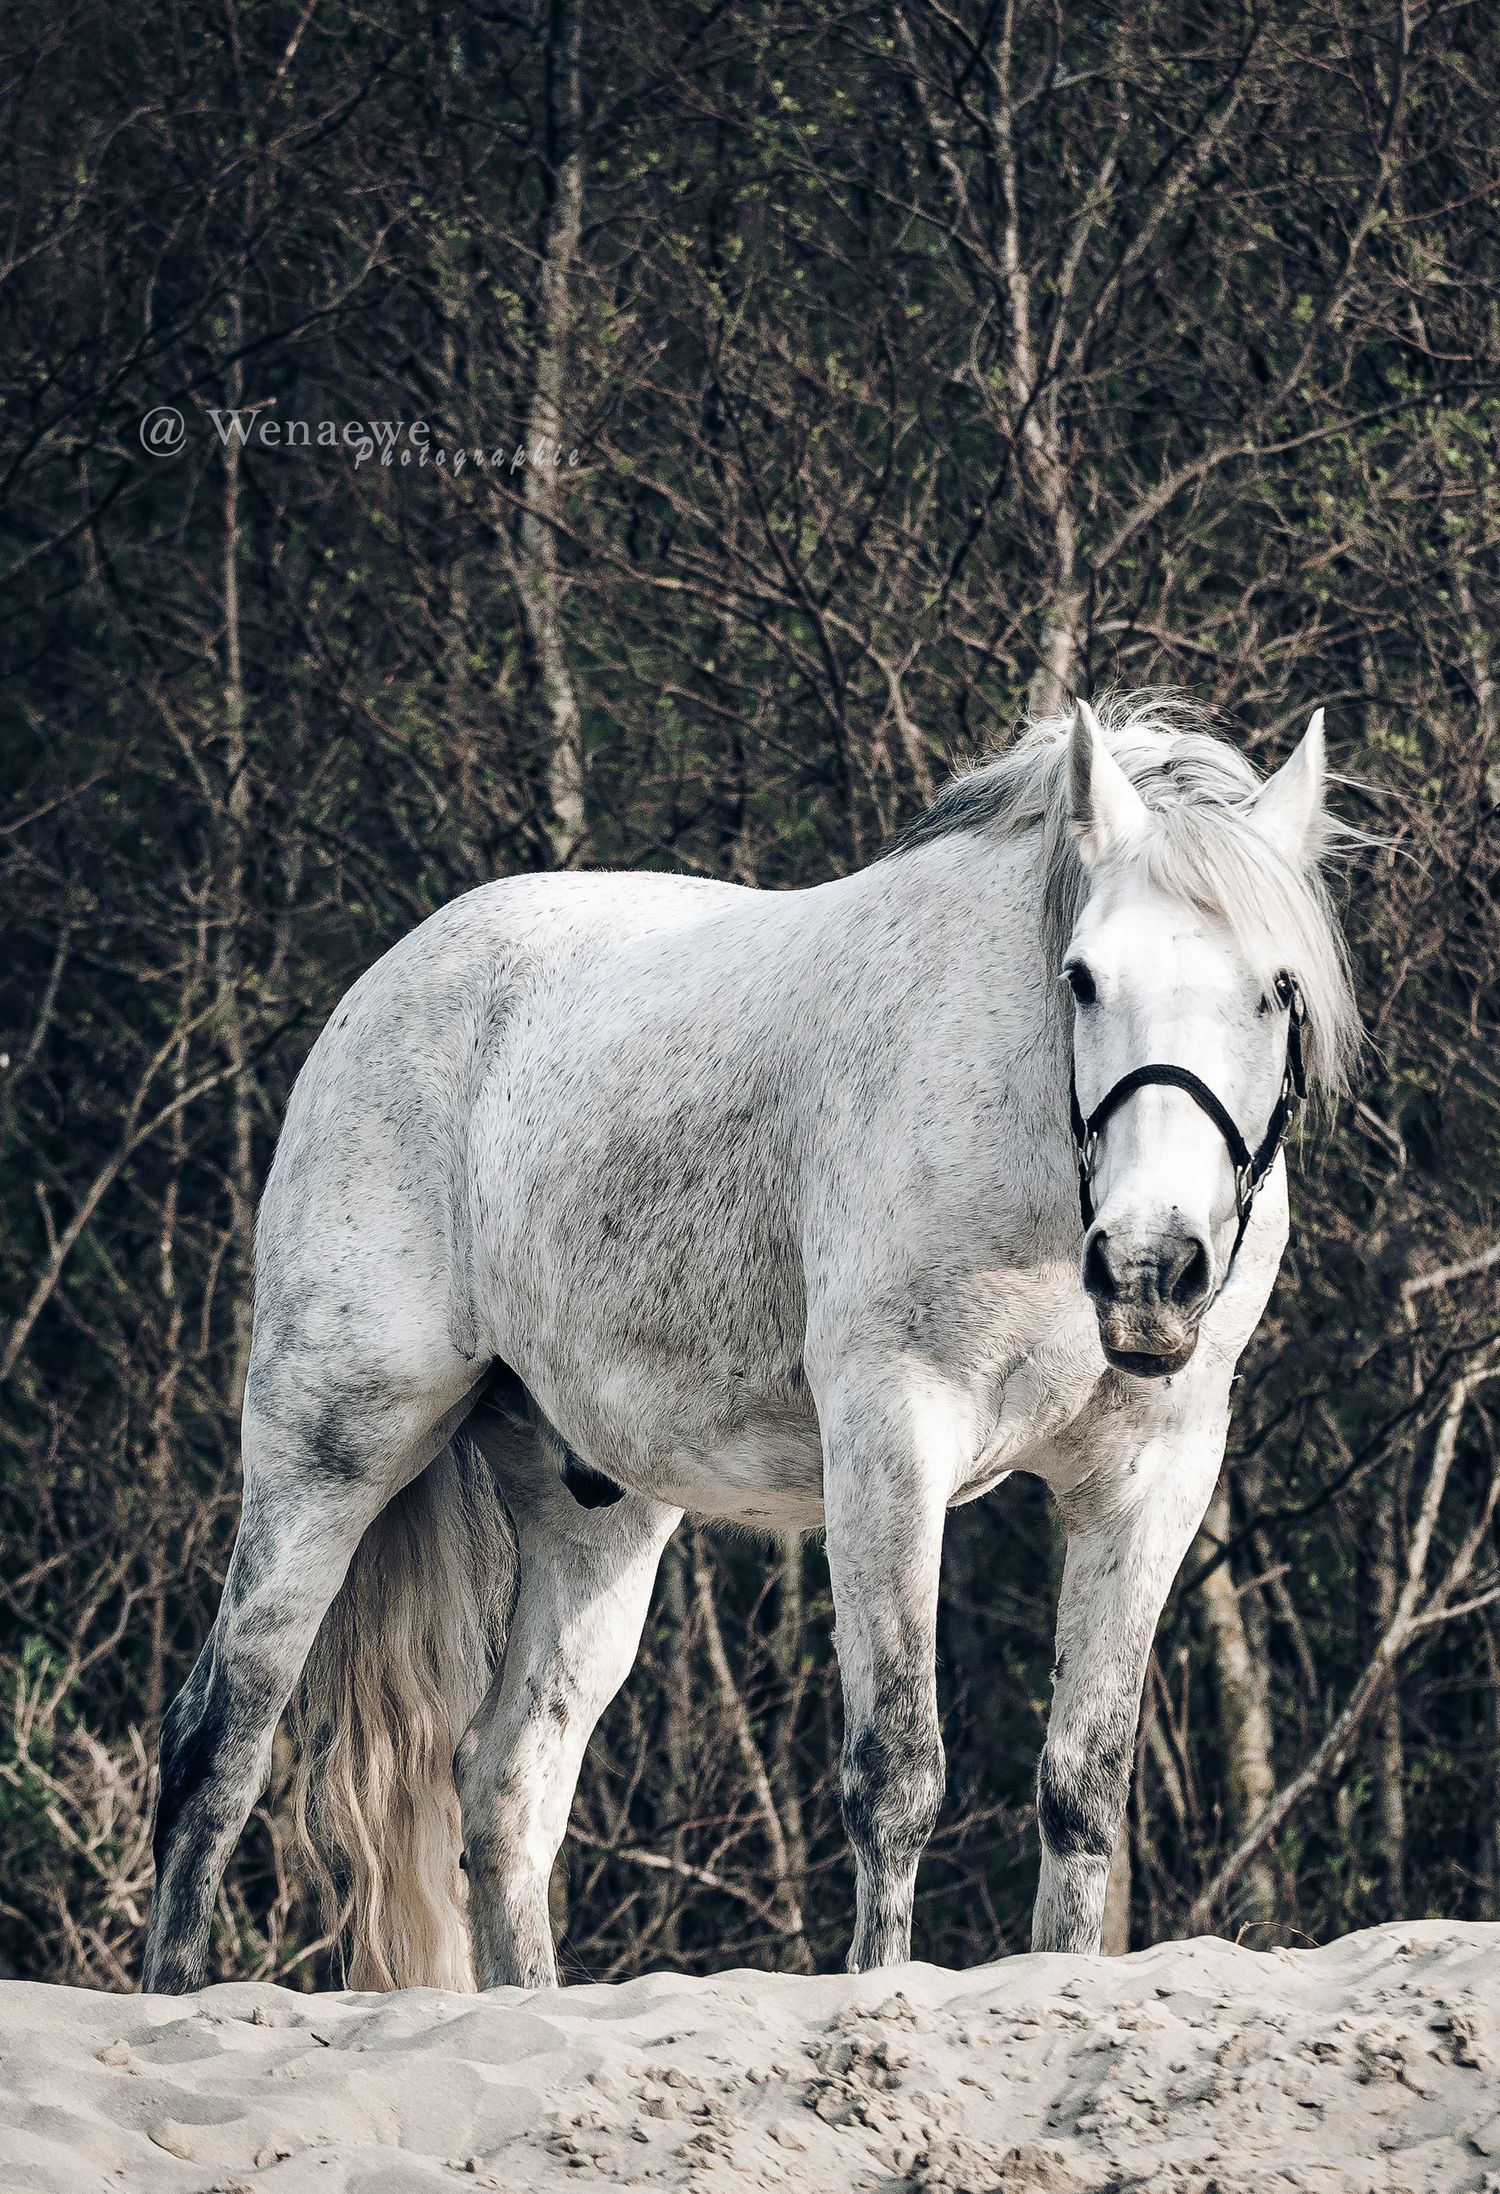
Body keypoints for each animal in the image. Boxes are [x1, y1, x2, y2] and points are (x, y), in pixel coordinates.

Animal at [141, 692, 1359, 1995]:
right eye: (1082, 979)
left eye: (1277, 989)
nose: (1148, 1267)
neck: (1034, 1151)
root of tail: (378, 991)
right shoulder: (892, 1439)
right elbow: (897, 1775)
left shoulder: (1150, 1475)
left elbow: (1082, 1790)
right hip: (332, 1447)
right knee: (219, 1742)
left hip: (596, 1515)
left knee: (507, 1788)